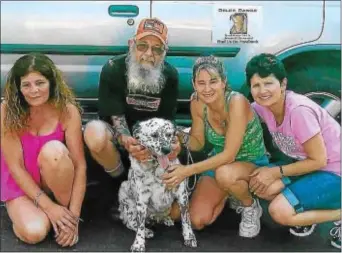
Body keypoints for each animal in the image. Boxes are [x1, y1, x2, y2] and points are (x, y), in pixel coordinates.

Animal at [118, 118, 196, 251]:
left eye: (169, 135)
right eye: (154, 135)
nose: (167, 150)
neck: (157, 169)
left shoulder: (182, 195)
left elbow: (186, 220)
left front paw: (189, 238)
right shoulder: (142, 200)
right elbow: (139, 226)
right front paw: (138, 244)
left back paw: (166, 219)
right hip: (125, 194)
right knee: (131, 223)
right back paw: (147, 231)